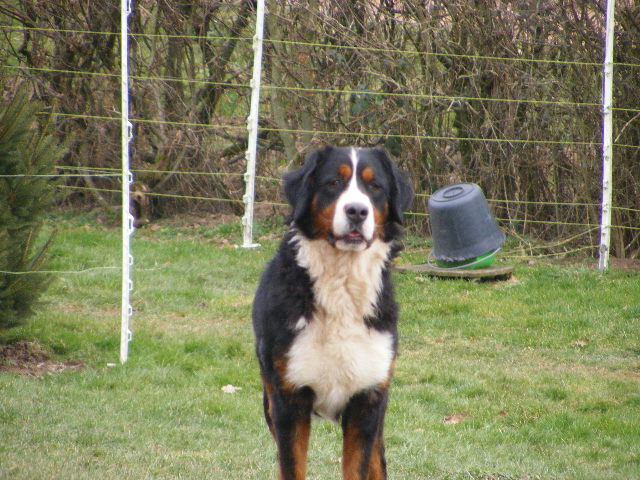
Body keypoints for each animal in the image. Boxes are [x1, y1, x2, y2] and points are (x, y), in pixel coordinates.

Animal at [252, 145, 412, 480]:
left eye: (374, 186)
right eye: (333, 183)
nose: (357, 211)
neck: (342, 286)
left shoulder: (367, 400)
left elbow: (359, 466)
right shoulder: (289, 401)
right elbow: (291, 466)